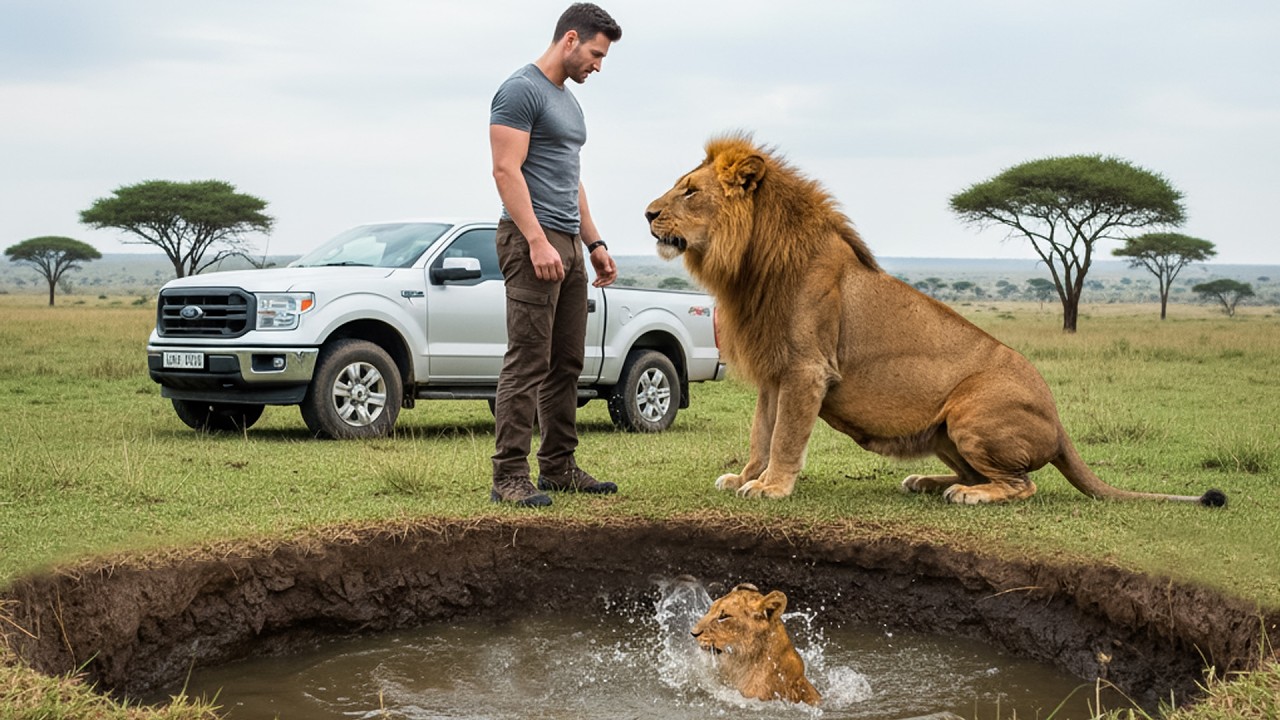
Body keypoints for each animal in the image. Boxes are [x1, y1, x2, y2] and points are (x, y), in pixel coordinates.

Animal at [645, 135, 1226, 507]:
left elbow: (786, 437)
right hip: (946, 431)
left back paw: (965, 494)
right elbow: (761, 432)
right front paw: (745, 477)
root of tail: (1059, 422)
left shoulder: (807, 369)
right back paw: (927, 481)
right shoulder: (775, 371)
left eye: (690, 191)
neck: (751, 263)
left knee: (1024, 486)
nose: (647, 213)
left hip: (972, 414)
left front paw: (771, 488)